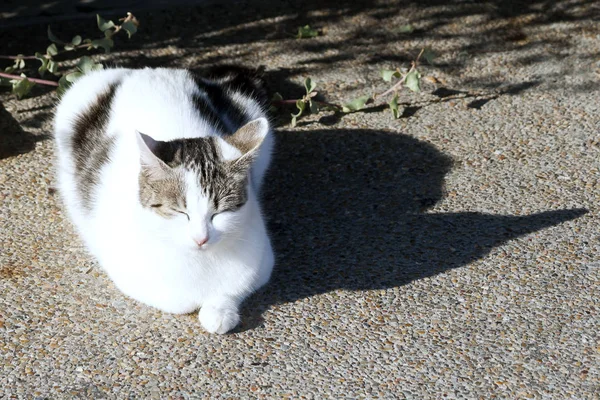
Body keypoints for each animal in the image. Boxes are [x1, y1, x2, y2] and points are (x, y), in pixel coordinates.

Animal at [54, 66, 274, 334]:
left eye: (219, 212)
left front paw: (220, 311)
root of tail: (143, 70)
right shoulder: (125, 268)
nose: (201, 239)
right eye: (180, 212)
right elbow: (177, 300)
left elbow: (235, 287)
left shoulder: (263, 261)